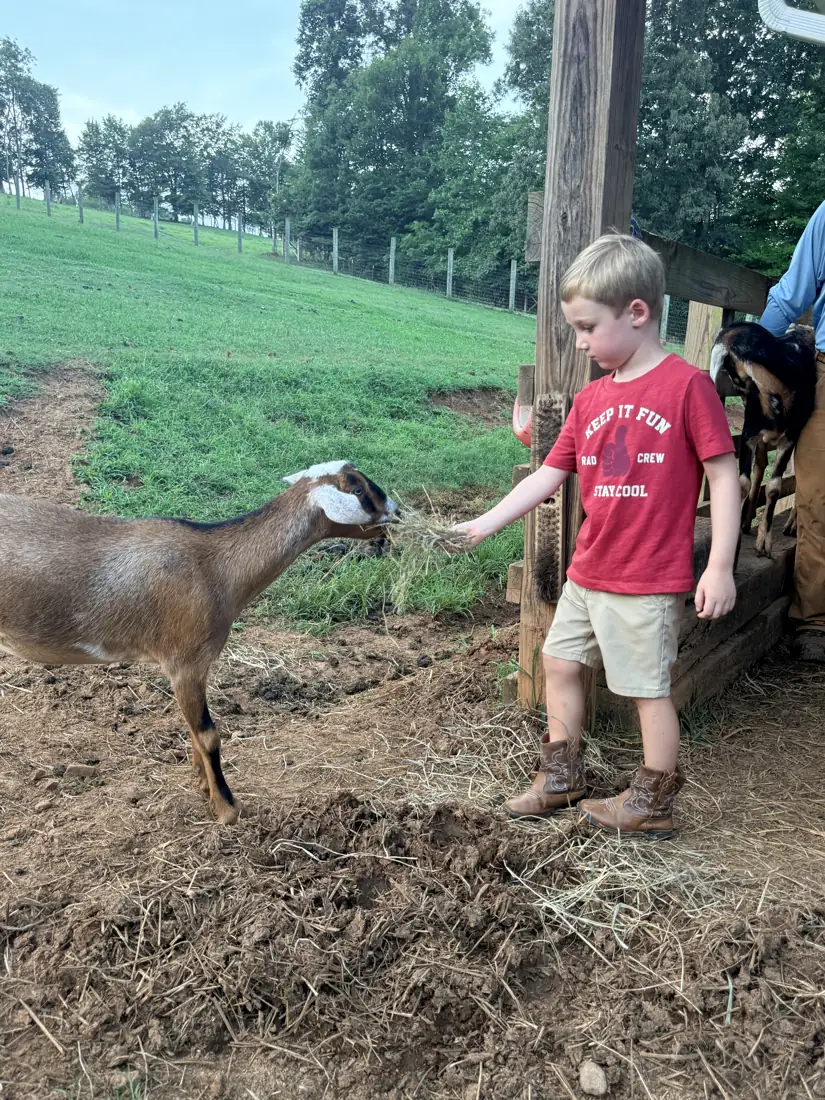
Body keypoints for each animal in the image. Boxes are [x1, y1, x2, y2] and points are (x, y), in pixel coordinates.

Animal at [0, 461, 397, 824]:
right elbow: (208, 735)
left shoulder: (192, 669)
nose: (395, 514)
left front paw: (203, 785)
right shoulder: (186, 662)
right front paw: (227, 808)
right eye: (357, 489)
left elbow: (193, 731)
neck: (216, 567)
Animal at [710, 322, 816, 558]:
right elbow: (744, 483)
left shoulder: (789, 439)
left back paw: (790, 526)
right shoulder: (749, 435)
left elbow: (774, 488)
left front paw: (764, 543)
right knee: (761, 467)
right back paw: (747, 521)